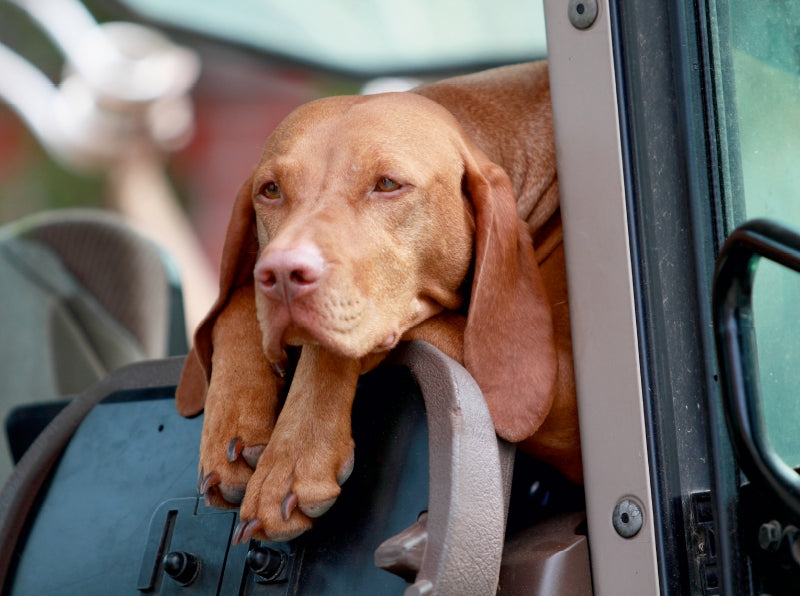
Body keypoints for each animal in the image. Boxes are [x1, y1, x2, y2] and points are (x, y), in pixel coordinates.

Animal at [175, 61, 580, 544]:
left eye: (387, 184)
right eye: (270, 190)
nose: (282, 277)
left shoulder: (560, 393)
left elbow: (336, 348)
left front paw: (292, 460)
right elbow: (235, 301)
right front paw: (233, 424)